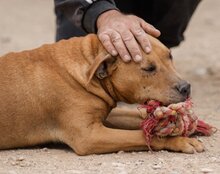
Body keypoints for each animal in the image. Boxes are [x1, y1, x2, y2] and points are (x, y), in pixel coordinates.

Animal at [0, 34, 205, 155]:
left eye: (170, 56)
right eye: (149, 68)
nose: (186, 87)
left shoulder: (104, 117)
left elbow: (137, 116)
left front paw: (186, 124)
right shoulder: (89, 137)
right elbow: (144, 136)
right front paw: (179, 140)